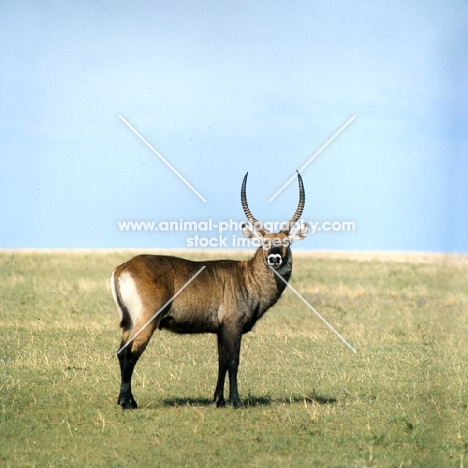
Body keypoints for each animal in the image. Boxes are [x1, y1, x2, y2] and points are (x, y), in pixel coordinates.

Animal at [109, 173, 308, 410]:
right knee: (130, 354)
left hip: (129, 323)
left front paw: (219, 400)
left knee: (122, 352)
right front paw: (236, 401)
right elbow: (233, 361)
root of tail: (124, 267)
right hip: (146, 321)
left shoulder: (220, 330)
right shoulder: (233, 327)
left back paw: (129, 401)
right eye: (264, 242)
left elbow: (221, 362)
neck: (246, 276)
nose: (274, 258)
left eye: (286, 241)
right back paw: (126, 403)